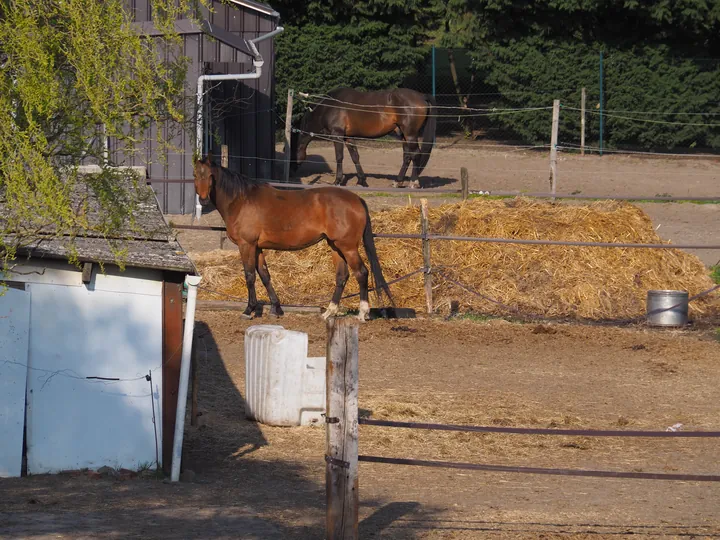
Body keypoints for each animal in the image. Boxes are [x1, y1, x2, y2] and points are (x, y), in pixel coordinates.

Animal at [191, 153, 394, 320]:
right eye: (195, 176)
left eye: (210, 176)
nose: (203, 200)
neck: (241, 201)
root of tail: (357, 199)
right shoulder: (257, 247)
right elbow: (265, 275)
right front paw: (276, 308)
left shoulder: (246, 245)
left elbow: (250, 276)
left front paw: (249, 310)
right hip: (336, 247)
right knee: (342, 277)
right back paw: (329, 312)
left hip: (348, 247)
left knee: (362, 273)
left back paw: (362, 313)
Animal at [290, 87, 436, 189]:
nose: (291, 172)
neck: (329, 107)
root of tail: (422, 96)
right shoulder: (348, 137)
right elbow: (355, 157)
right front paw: (361, 181)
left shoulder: (337, 135)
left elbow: (339, 157)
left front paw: (337, 181)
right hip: (403, 135)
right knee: (407, 156)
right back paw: (398, 182)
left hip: (410, 134)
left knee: (415, 154)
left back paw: (413, 183)